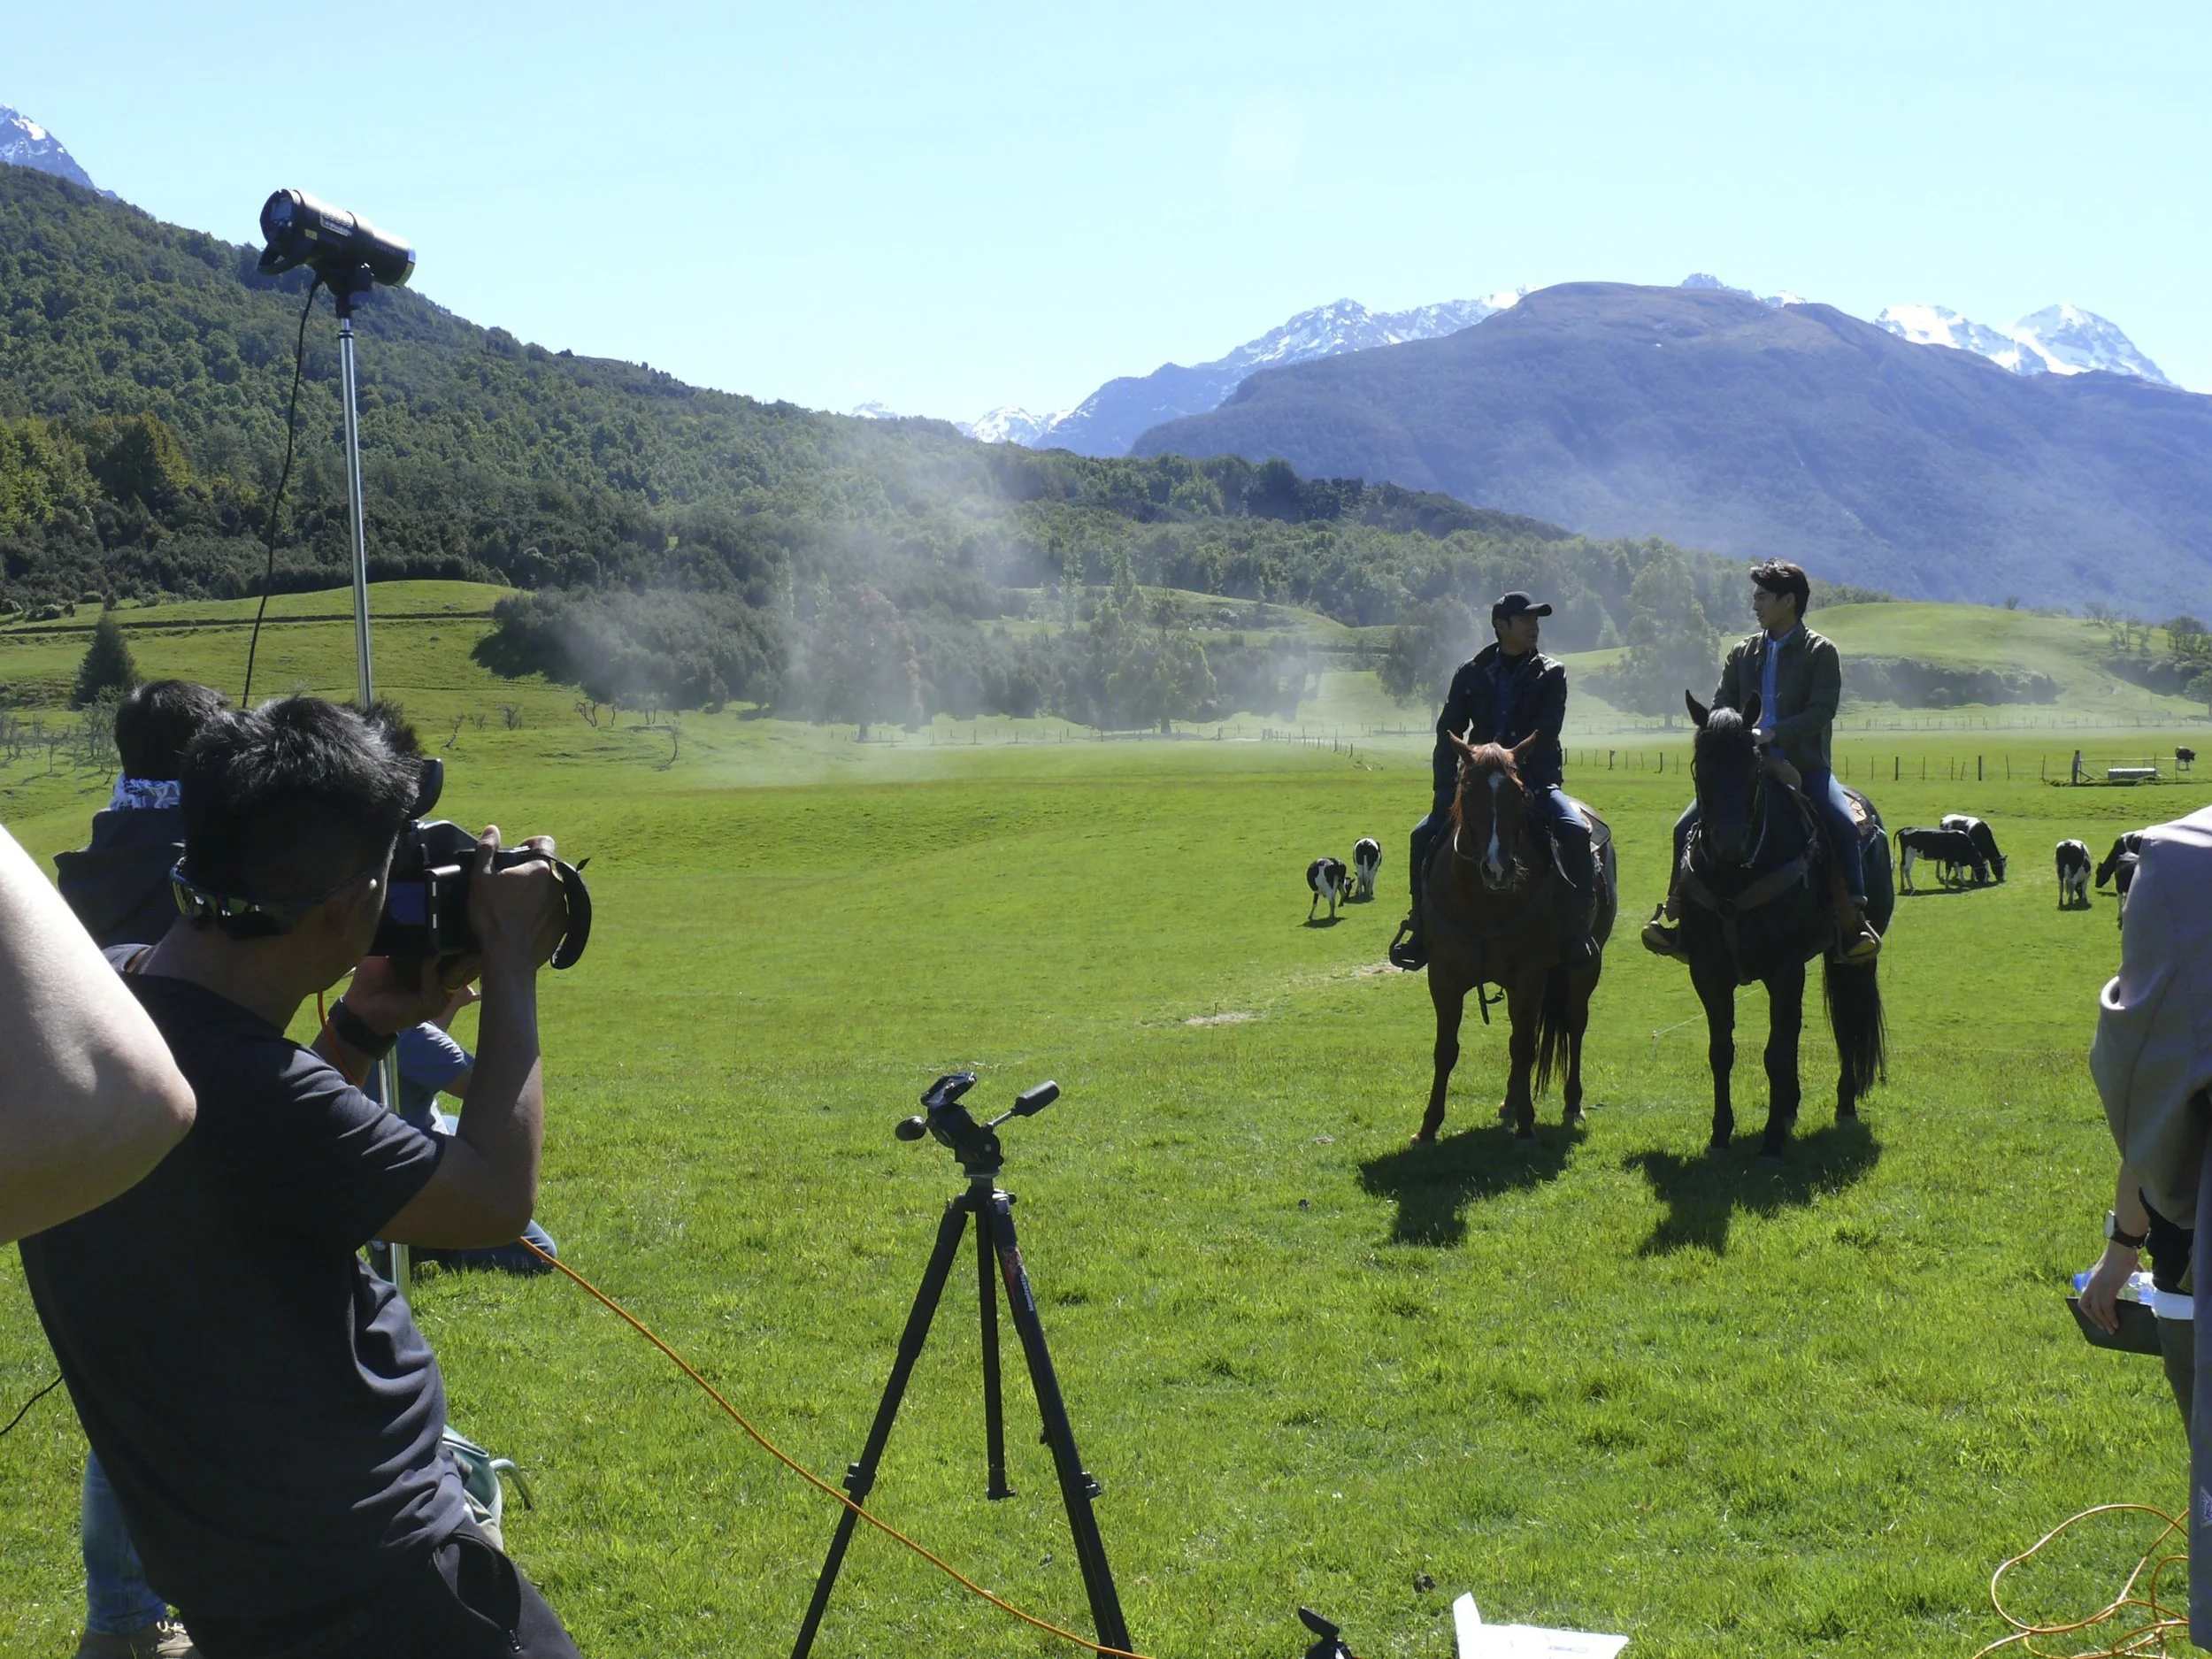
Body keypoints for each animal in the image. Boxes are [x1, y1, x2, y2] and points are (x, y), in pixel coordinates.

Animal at [1413, 732, 1616, 1143]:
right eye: (1466, 789)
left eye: (1520, 793)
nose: (1498, 869)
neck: (1480, 902)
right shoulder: (1443, 976)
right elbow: (1446, 1049)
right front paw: (1427, 1126)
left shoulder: (1529, 974)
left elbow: (1523, 1048)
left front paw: (1526, 1125)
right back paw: (1508, 1101)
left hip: (1585, 967)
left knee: (1574, 1025)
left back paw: (1572, 1104)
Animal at [1676, 692, 1889, 1157]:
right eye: (1701, 765)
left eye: (1751, 767)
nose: (1729, 842)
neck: (1735, 876)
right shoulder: (1708, 972)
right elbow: (1722, 1051)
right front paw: (1721, 1133)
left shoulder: (1784, 968)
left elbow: (1776, 1051)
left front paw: (1772, 1138)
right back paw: (1790, 1108)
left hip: (1853, 959)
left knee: (1846, 1025)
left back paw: (1844, 1106)